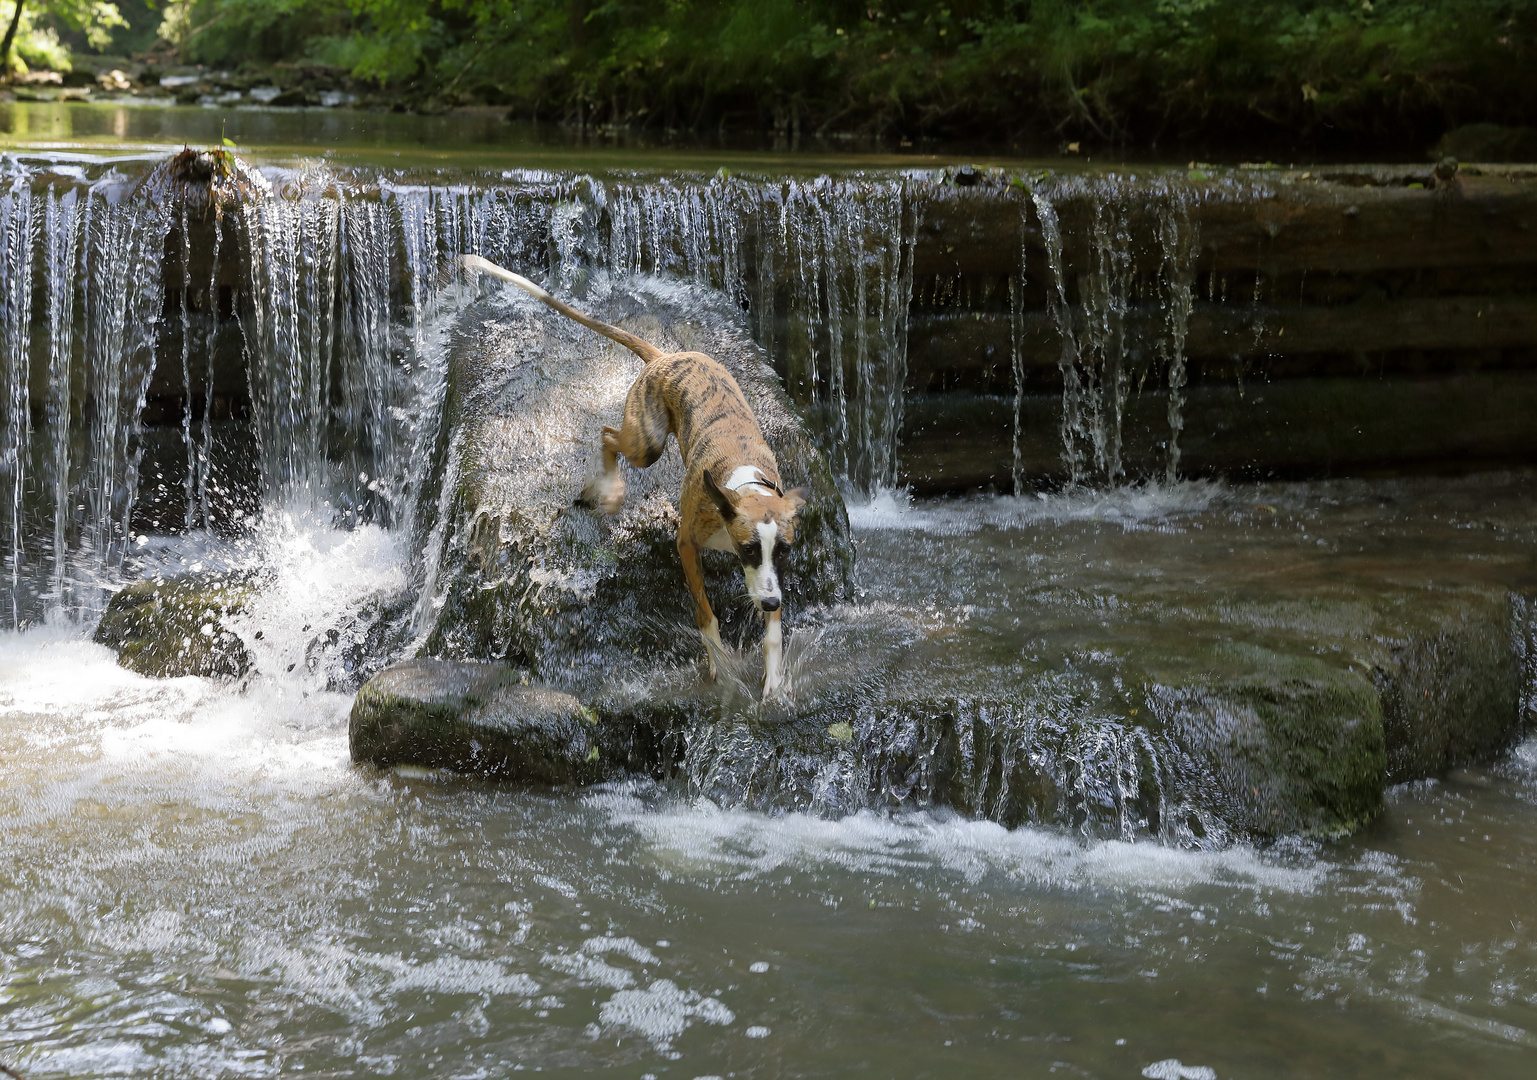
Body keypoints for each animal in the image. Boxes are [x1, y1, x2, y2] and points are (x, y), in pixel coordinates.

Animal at [458, 261, 811, 700]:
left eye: (784, 550)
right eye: (747, 550)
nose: (770, 604)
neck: (743, 482)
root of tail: (666, 356)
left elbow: (773, 632)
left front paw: (774, 677)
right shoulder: (687, 544)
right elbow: (705, 613)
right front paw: (720, 662)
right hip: (648, 442)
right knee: (609, 435)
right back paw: (607, 488)